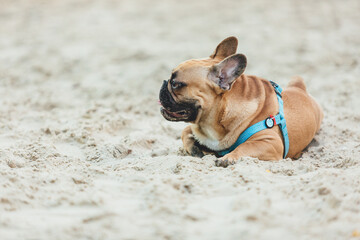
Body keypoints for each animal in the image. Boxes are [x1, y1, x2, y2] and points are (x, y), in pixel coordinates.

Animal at [159, 36, 322, 168]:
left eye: (176, 84)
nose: (164, 83)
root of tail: (299, 87)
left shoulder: (270, 142)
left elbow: (245, 147)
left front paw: (228, 158)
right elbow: (185, 131)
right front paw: (194, 148)